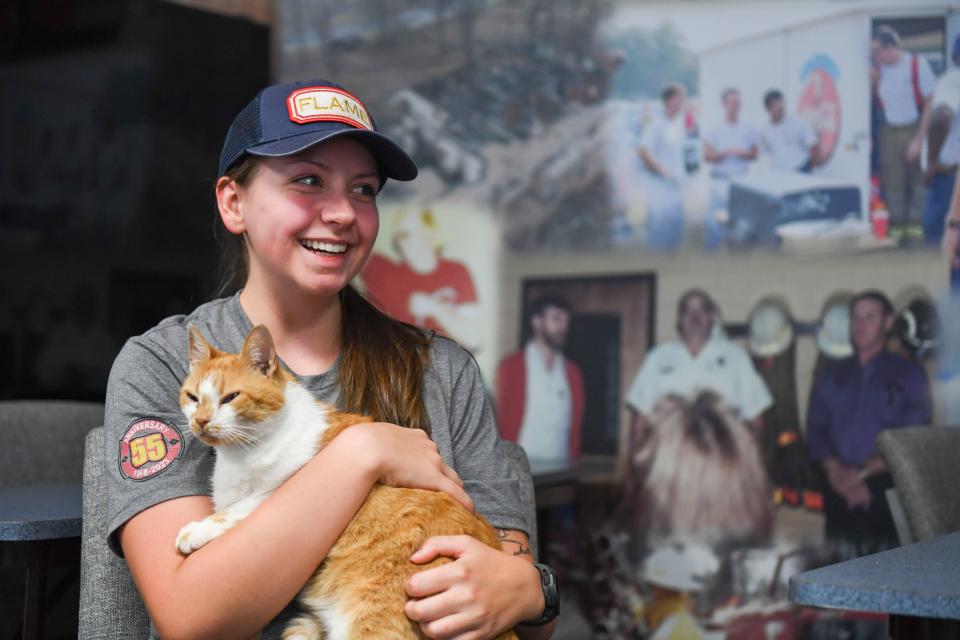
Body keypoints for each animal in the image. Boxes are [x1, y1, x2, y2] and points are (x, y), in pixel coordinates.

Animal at [175, 328, 512, 636]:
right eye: (193, 398)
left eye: (231, 397)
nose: (200, 421)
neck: (241, 453)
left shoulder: (287, 484)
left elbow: (236, 509)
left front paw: (195, 530)